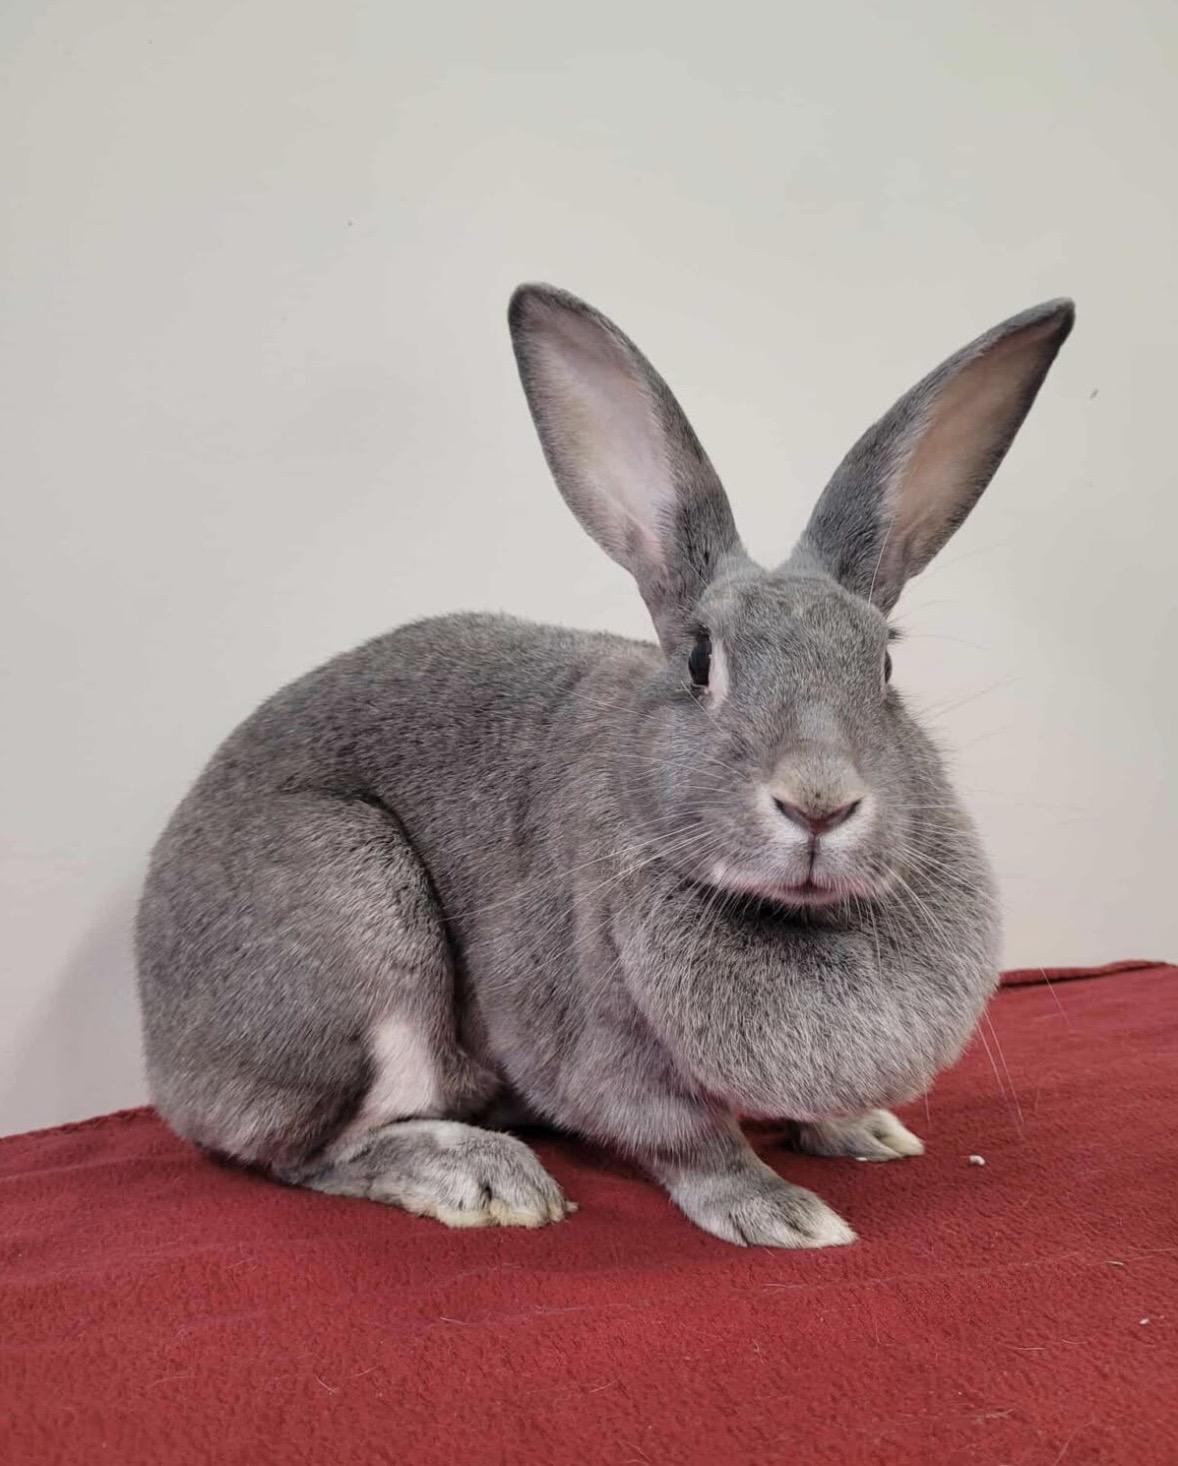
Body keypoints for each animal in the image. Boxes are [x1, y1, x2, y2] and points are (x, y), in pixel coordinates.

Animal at [136, 283, 1073, 1247]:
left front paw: (865, 1130)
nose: (819, 803)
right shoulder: (606, 1052)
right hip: (354, 904)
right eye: (701, 661)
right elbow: (688, 1140)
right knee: (307, 1152)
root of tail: (167, 1050)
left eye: (882, 665)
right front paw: (782, 1214)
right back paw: (484, 1177)